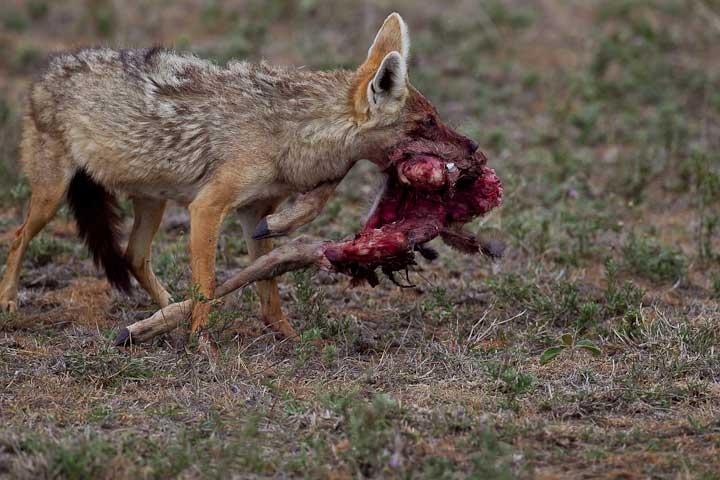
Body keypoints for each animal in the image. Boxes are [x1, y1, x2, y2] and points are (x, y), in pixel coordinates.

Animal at [0, 13, 480, 339]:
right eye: (427, 125)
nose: (475, 149)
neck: (289, 134)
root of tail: (49, 69)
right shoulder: (207, 208)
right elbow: (209, 283)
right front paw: (201, 344)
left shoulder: (252, 214)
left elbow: (268, 281)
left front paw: (284, 334)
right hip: (52, 197)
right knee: (19, 236)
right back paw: (9, 301)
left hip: (152, 203)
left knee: (134, 256)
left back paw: (163, 312)